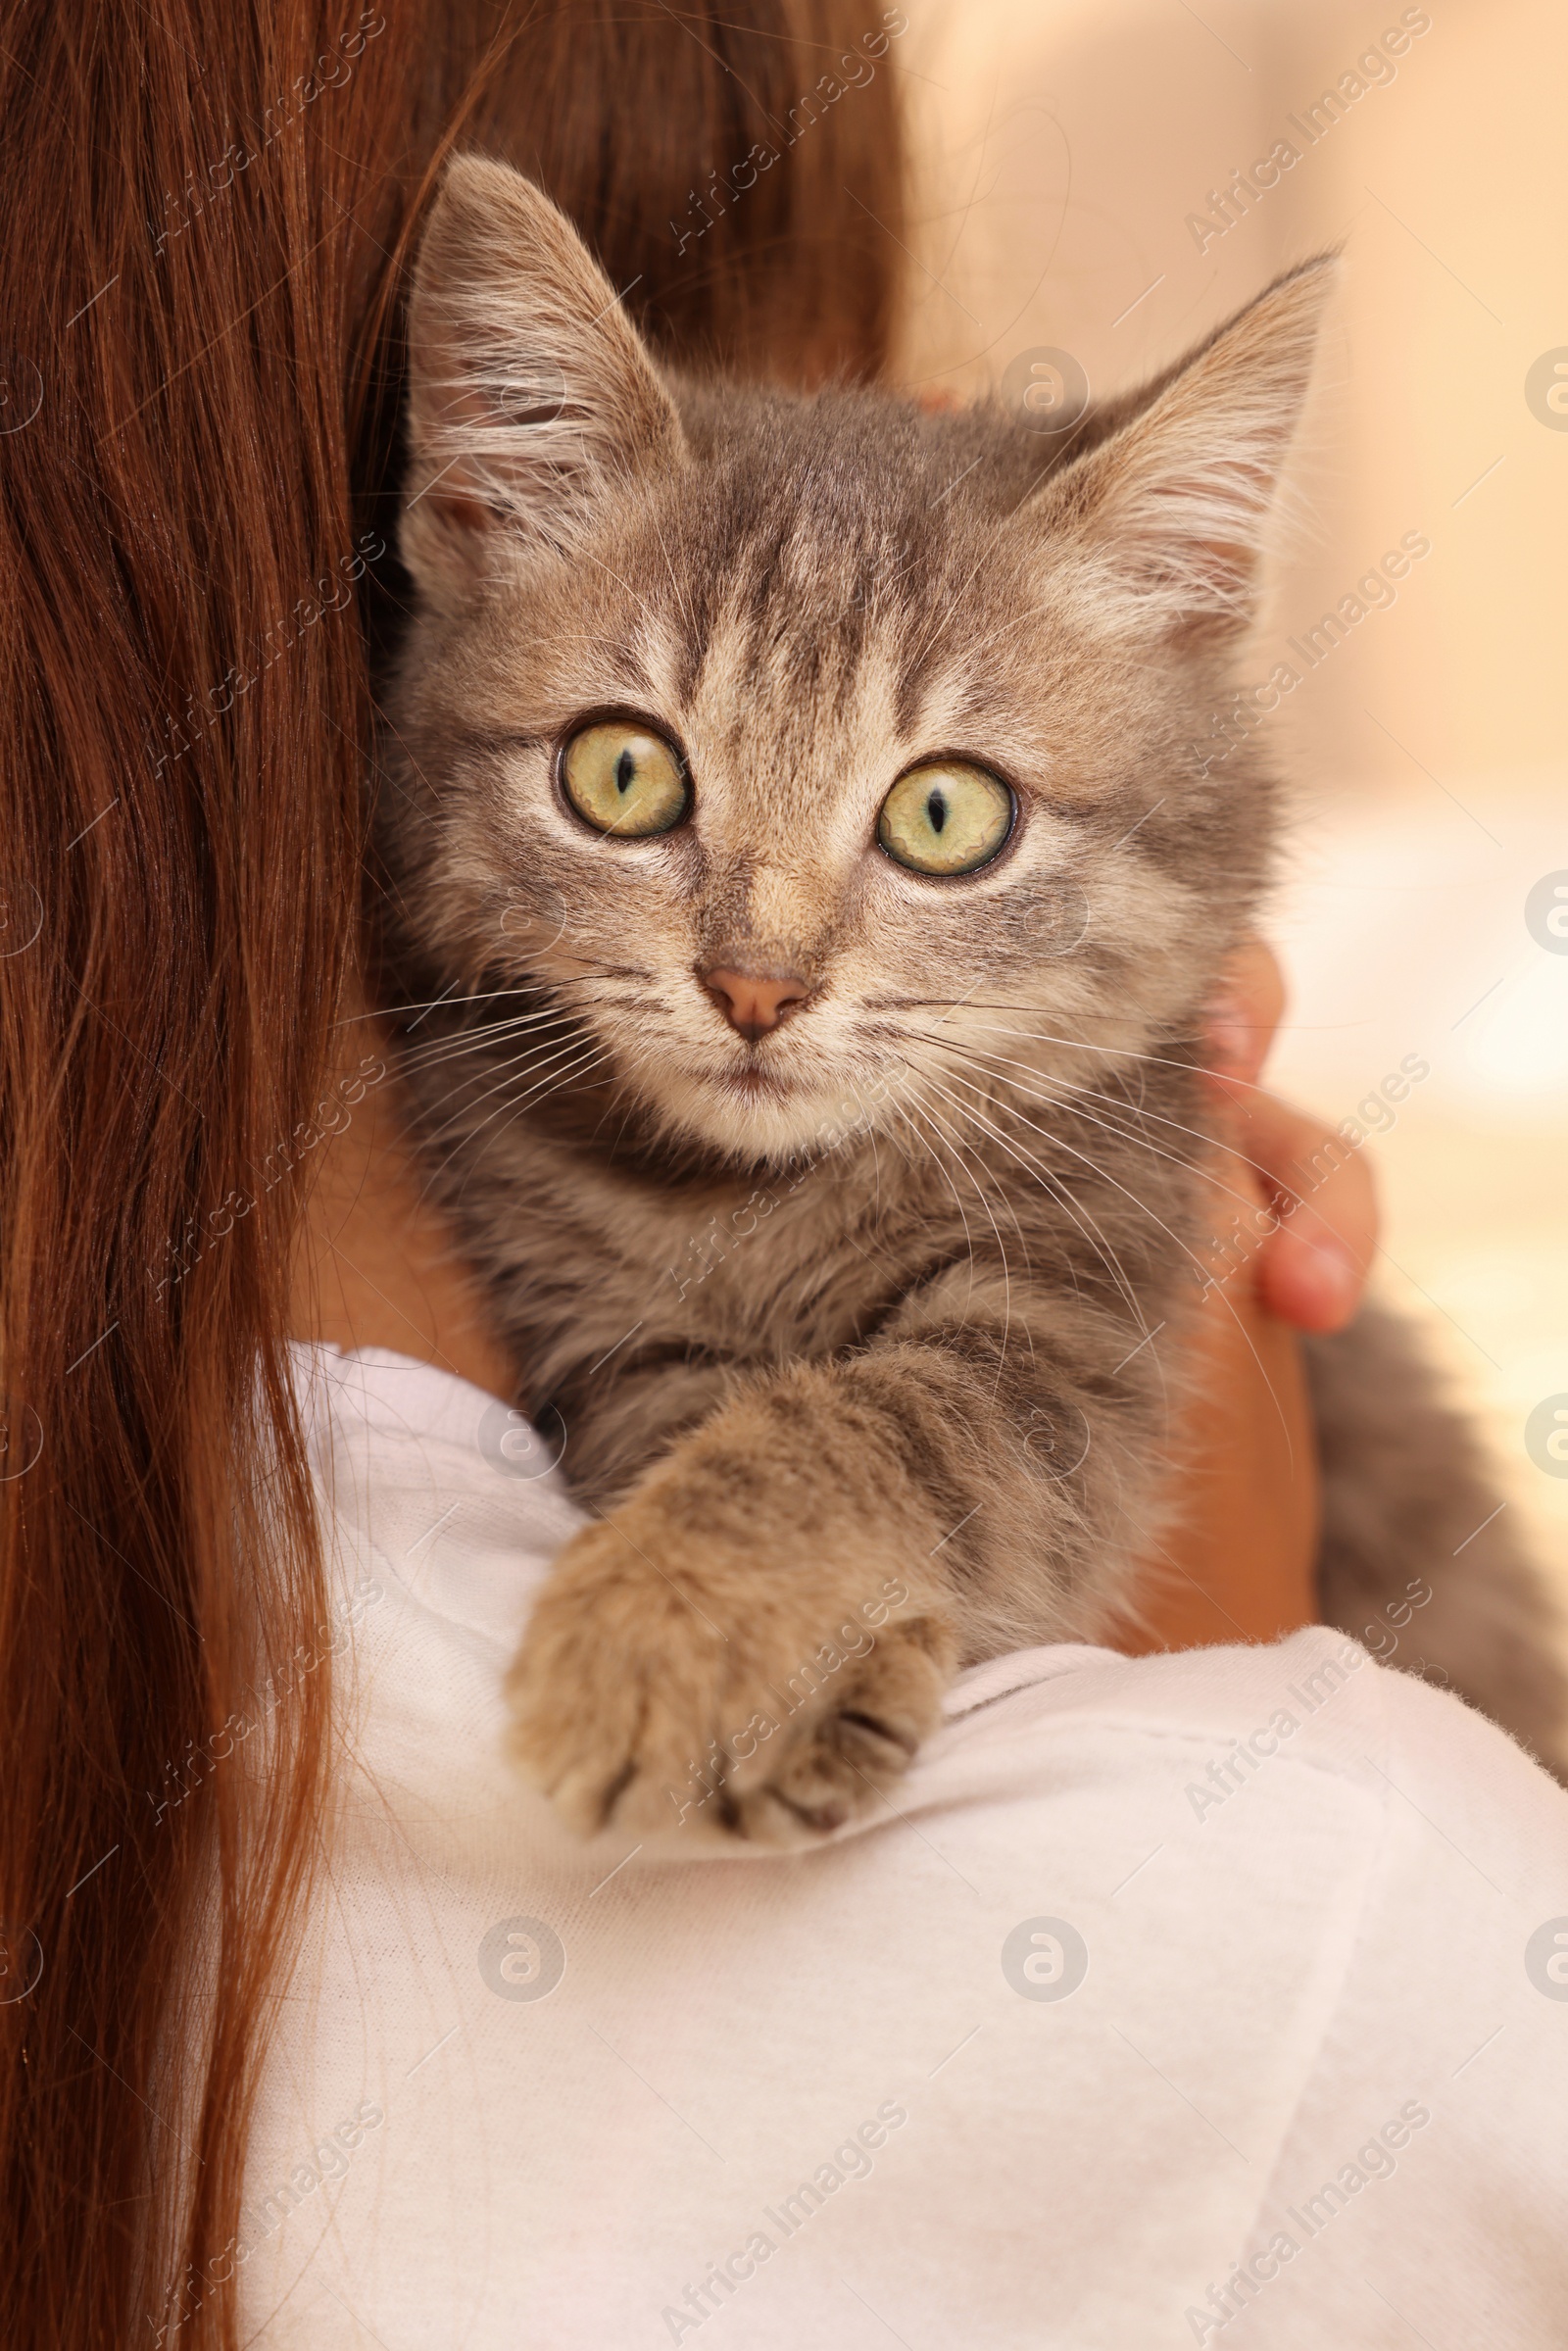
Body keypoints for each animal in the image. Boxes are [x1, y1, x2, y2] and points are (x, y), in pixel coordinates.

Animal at [373, 156, 1560, 1842]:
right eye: (622, 773)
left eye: (946, 814)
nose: (754, 985)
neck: (765, 1197)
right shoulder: (578, 1295)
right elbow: (689, 1409)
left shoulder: (1096, 1294)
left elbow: (887, 1416)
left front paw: (664, 1624)